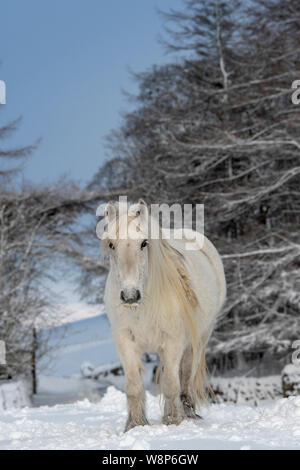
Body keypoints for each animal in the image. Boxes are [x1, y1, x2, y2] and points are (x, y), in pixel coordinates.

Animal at [102, 200, 225, 432]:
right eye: (111, 245)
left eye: (144, 243)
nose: (130, 295)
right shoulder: (125, 341)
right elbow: (134, 386)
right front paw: (136, 425)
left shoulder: (173, 341)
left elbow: (170, 383)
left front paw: (173, 420)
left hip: (199, 339)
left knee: (185, 375)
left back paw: (187, 411)